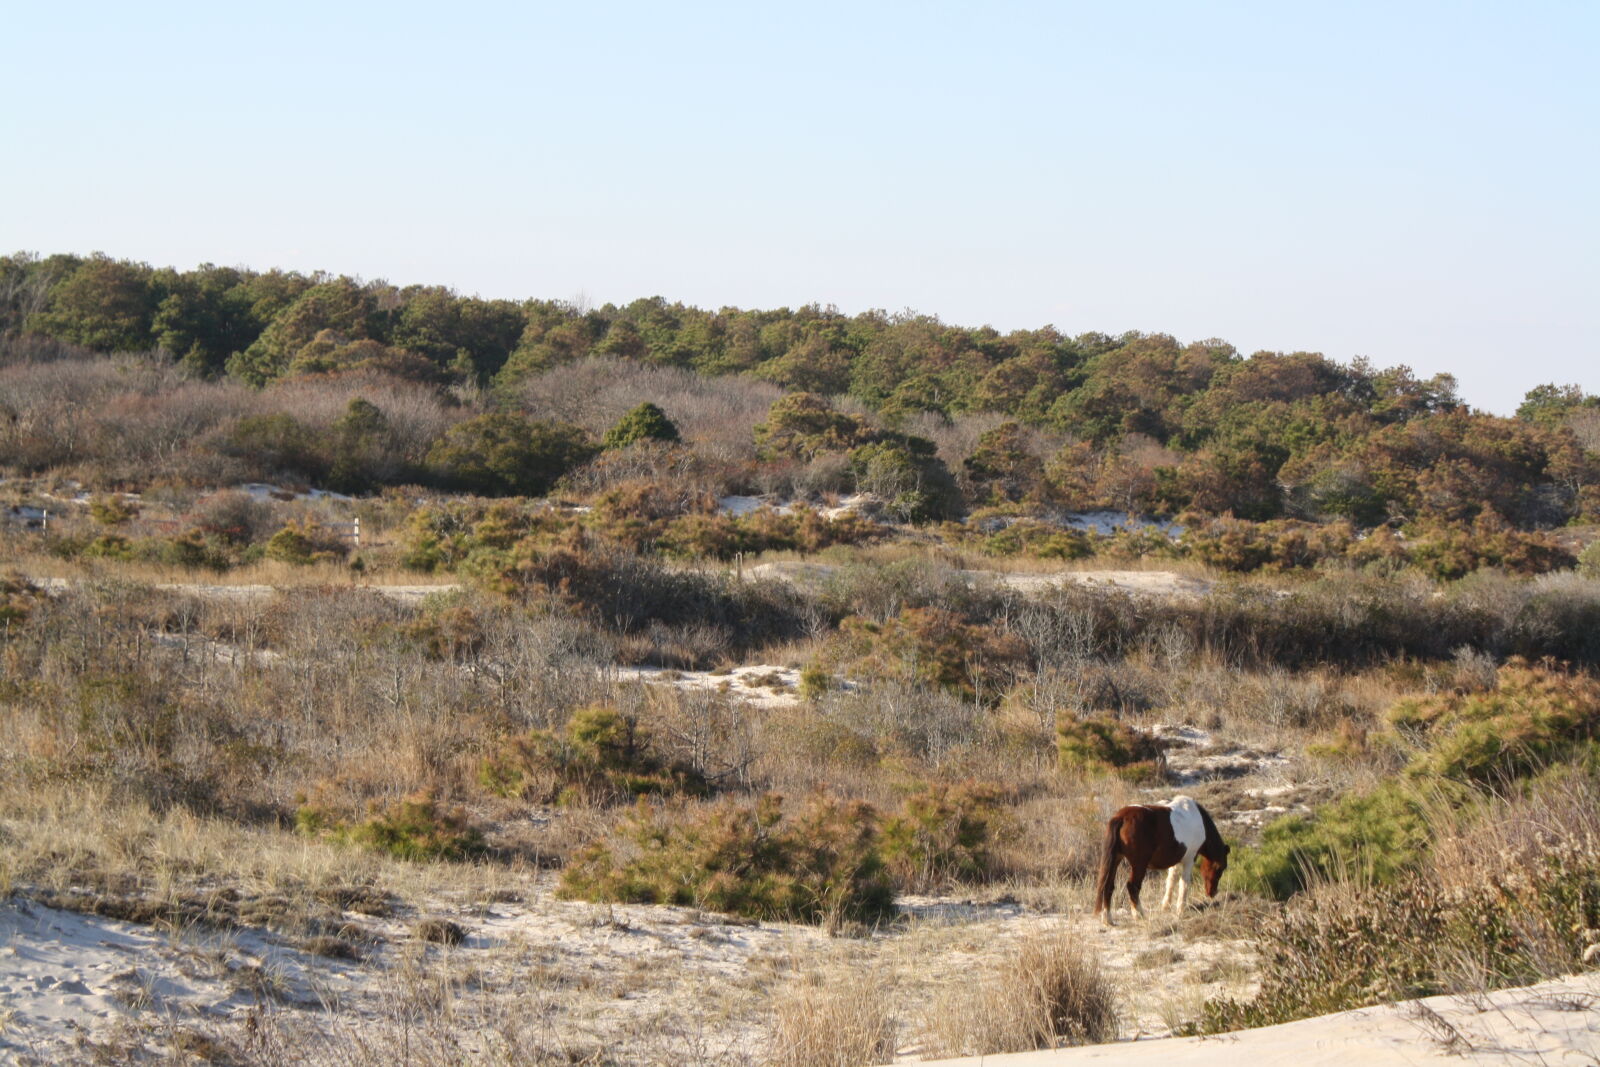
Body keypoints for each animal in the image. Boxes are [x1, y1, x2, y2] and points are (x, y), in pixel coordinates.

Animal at [1093, 795, 1229, 925]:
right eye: (1220, 868)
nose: (1212, 893)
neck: (1199, 820)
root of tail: (1122, 817)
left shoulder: (1175, 861)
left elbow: (1171, 881)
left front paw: (1166, 906)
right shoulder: (1189, 859)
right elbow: (1184, 884)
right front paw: (1180, 910)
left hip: (1116, 860)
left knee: (1108, 886)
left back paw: (1107, 919)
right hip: (1139, 865)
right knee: (1133, 886)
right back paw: (1139, 914)